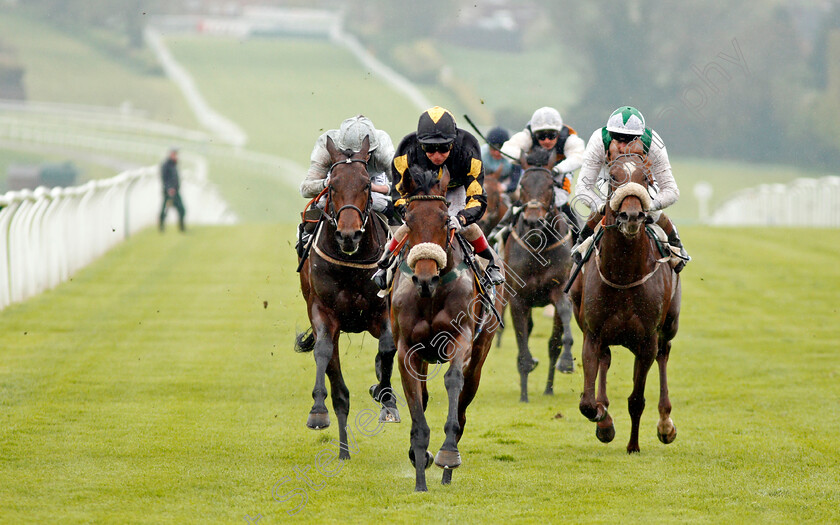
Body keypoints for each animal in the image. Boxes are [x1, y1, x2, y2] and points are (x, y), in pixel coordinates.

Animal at [296, 135, 400, 458]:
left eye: (366, 184)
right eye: (333, 186)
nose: (348, 235)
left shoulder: (382, 312)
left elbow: (388, 347)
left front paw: (386, 398)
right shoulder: (323, 312)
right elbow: (322, 350)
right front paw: (317, 412)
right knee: (339, 388)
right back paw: (342, 451)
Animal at [390, 165, 502, 492]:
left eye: (444, 219)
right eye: (408, 220)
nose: (425, 278)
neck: (431, 294)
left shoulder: (459, 338)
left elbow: (453, 381)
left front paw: (447, 454)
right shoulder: (407, 350)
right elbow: (417, 406)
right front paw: (419, 477)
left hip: (480, 351)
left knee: (464, 400)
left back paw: (448, 470)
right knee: (425, 394)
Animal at [502, 147, 576, 402]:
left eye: (550, 185)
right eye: (523, 185)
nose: (534, 221)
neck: (537, 246)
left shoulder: (560, 289)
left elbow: (560, 330)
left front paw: (567, 361)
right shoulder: (518, 299)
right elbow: (522, 343)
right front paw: (524, 395)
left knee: (553, 344)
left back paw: (549, 388)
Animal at [568, 145, 680, 452]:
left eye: (645, 178)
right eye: (614, 177)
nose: (631, 216)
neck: (623, 274)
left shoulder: (646, 342)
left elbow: (636, 400)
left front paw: (633, 445)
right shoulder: (592, 334)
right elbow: (586, 403)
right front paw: (603, 420)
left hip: (670, 325)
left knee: (665, 355)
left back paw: (665, 424)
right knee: (605, 360)